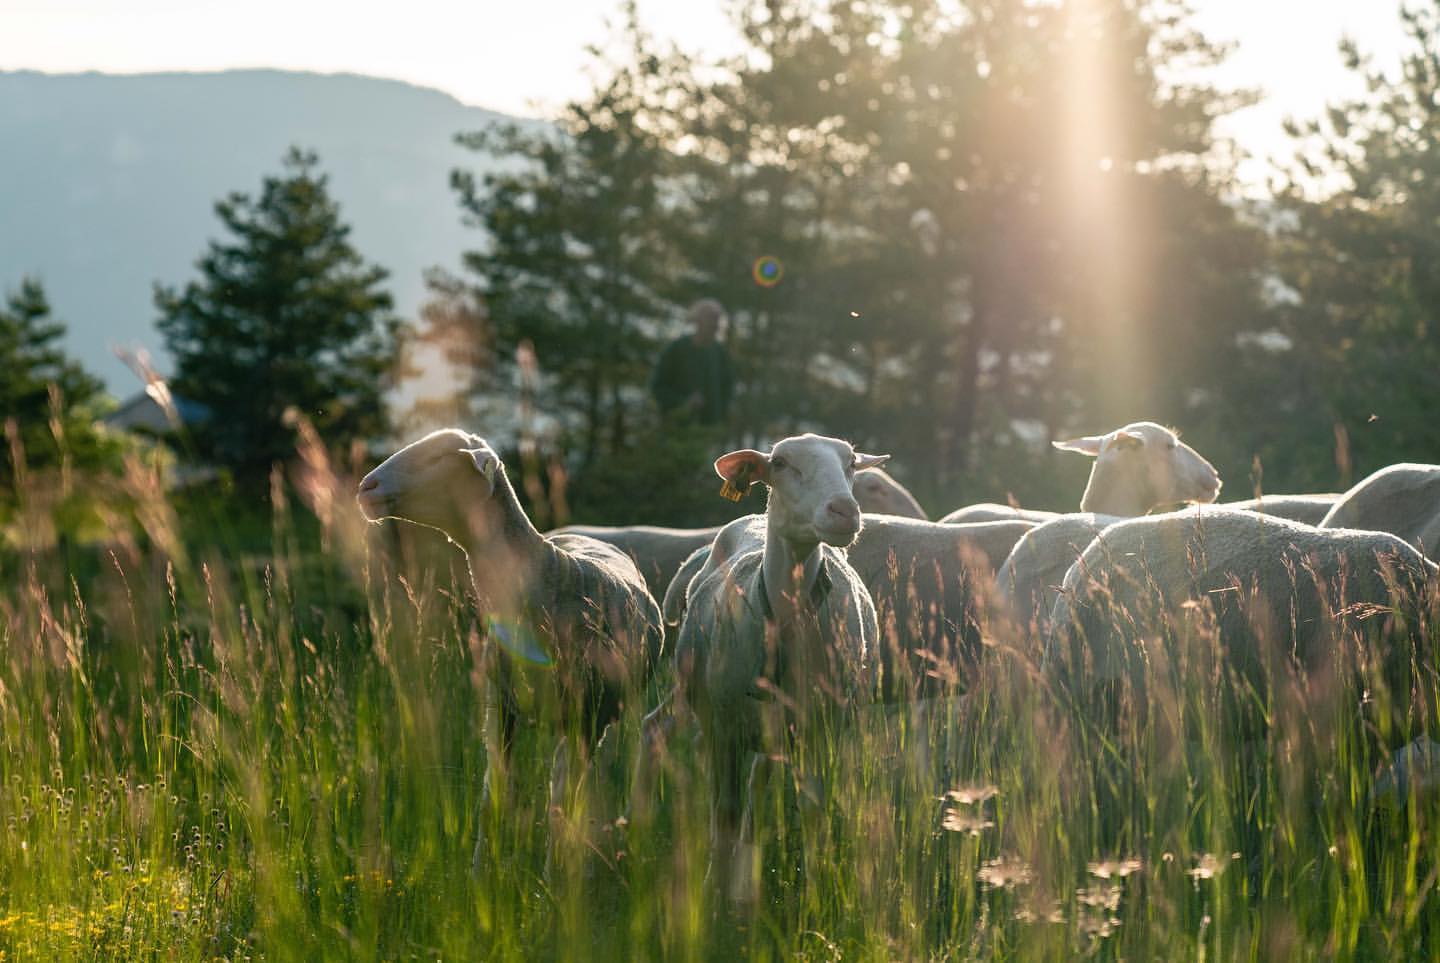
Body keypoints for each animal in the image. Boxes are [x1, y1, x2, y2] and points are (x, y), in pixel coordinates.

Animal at [356, 428, 664, 868]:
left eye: (438, 456)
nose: (366, 487)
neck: (553, 577)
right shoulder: (500, 707)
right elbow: (494, 798)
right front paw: (482, 873)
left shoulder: (586, 715)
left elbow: (564, 803)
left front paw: (556, 877)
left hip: (594, 717)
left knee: (574, 781)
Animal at [672, 433, 886, 898]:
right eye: (783, 463)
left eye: (852, 464)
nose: (845, 511)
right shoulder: (724, 727)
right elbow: (726, 812)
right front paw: (714, 893)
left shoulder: (821, 727)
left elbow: (813, 810)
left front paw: (814, 897)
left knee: (758, 788)